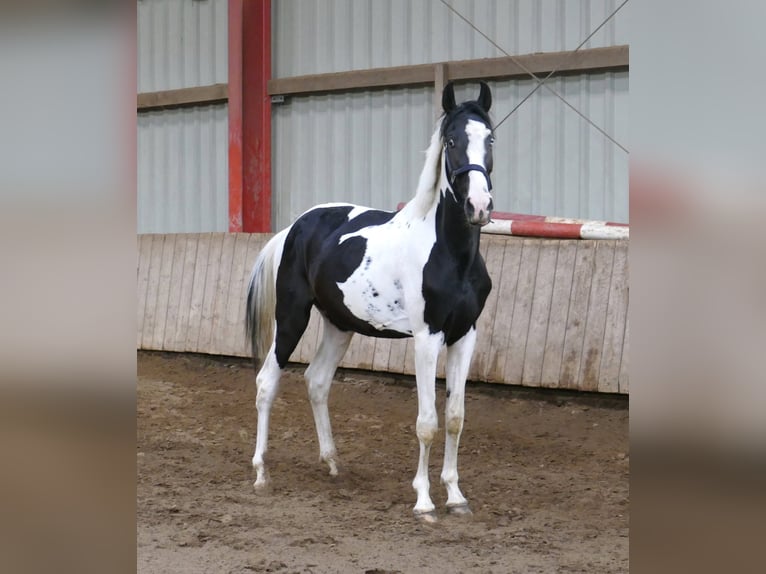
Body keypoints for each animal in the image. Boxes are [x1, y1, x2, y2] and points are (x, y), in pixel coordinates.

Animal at [245, 82, 495, 521]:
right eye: (451, 141)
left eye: (490, 138)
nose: (479, 207)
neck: (450, 253)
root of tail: (294, 227)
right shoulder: (427, 338)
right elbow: (427, 421)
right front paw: (424, 501)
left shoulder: (465, 336)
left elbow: (455, 418)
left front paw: (455, 496)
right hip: (291, 318)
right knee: (267, 382)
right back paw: (261, 472)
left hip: (339, 325)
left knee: (317, 381)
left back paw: (332, 463)